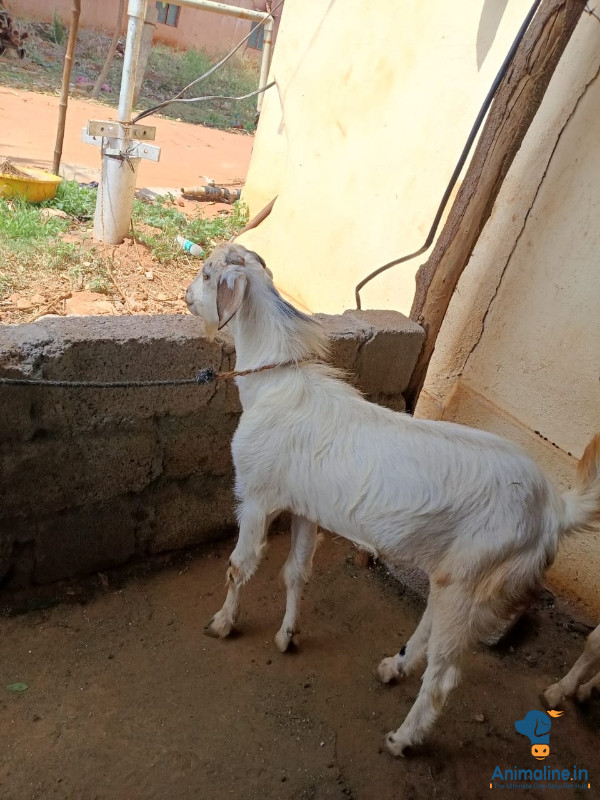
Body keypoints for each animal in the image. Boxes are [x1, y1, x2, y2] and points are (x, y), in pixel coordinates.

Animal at [185, 243, 600, 756]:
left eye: (207, 274)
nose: (185, 297)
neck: (273, 387)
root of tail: (553, 510)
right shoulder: (305, 508)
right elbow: (295, 572)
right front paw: (286, 637)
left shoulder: (258, 496)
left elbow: (240, 566)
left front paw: (223, 623)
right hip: (453, 575)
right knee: (430, 629)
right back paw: (392, 668)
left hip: (474, 576)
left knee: (445, 676)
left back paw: (404, 738)